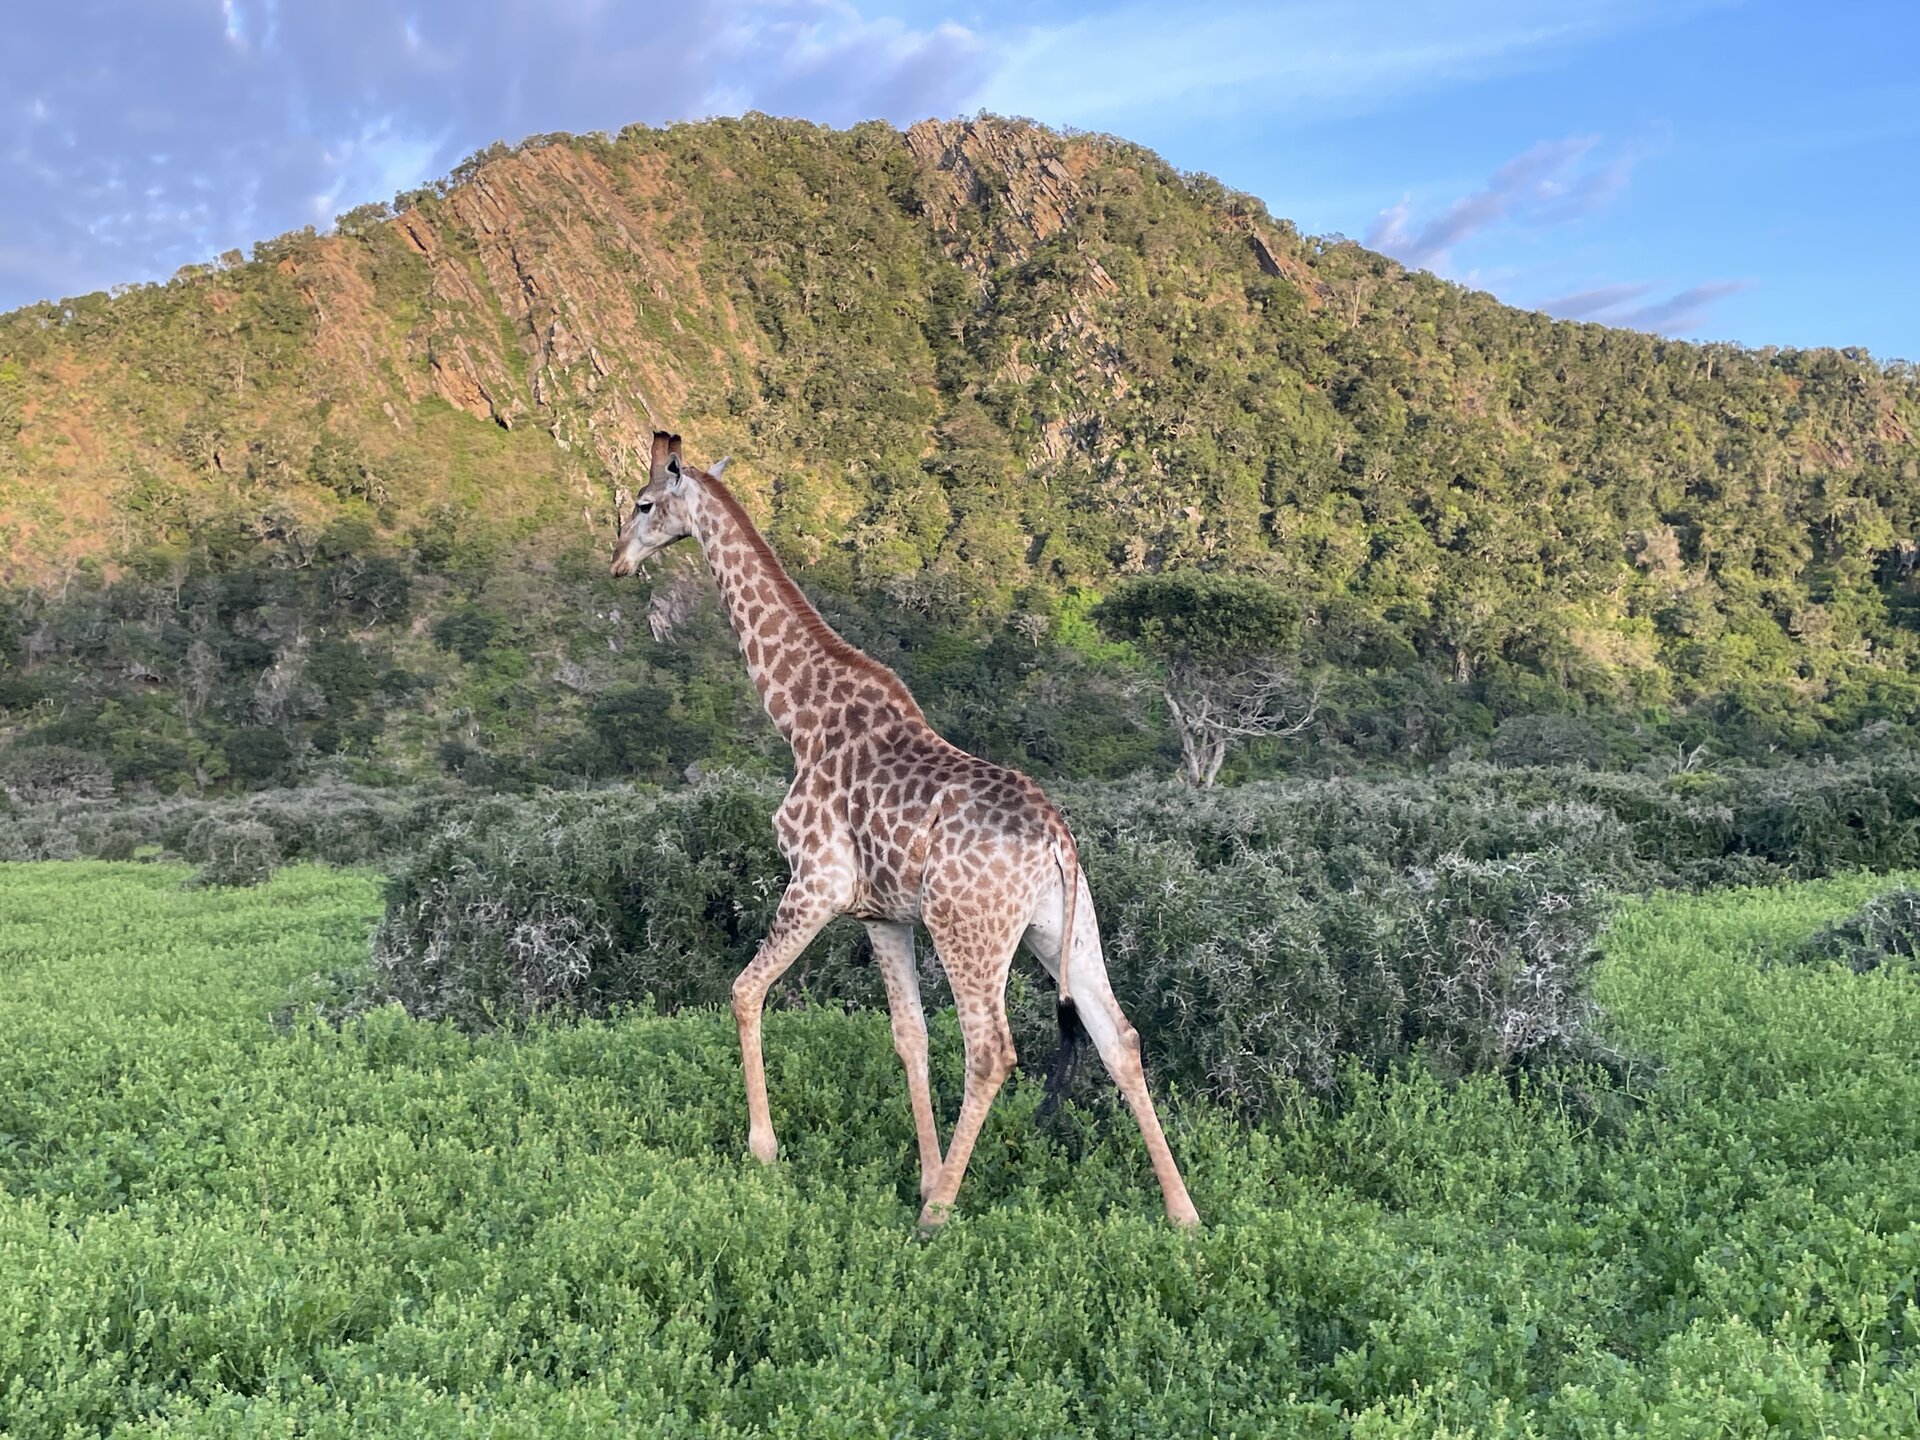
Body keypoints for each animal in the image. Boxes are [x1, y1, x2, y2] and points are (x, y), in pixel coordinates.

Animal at [611, 432, 1199, 1229]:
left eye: (644, 504)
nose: (617, 561)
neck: (799, 717)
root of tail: (1055, 838)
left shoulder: (818, 882)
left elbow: (744, 990)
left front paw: (765, 1149)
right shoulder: (882, 914)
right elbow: (909, 1036)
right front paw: (922, 1172)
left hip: (969, 929)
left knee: (992, 1051)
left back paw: (939, 1217)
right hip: (1064, 928)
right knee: (1120, 1037)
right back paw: (1182, 1214)